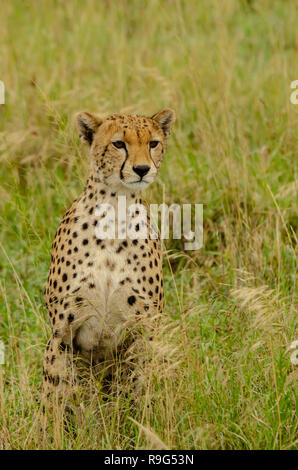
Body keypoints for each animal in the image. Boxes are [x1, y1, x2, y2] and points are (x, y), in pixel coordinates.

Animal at [43, 108, 176, 410]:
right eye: (118, 144)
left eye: (153, 143)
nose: (142, 169)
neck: (115, 211)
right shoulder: (62, 332)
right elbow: (59, 399)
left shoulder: (146, 328)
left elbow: (142, 391)